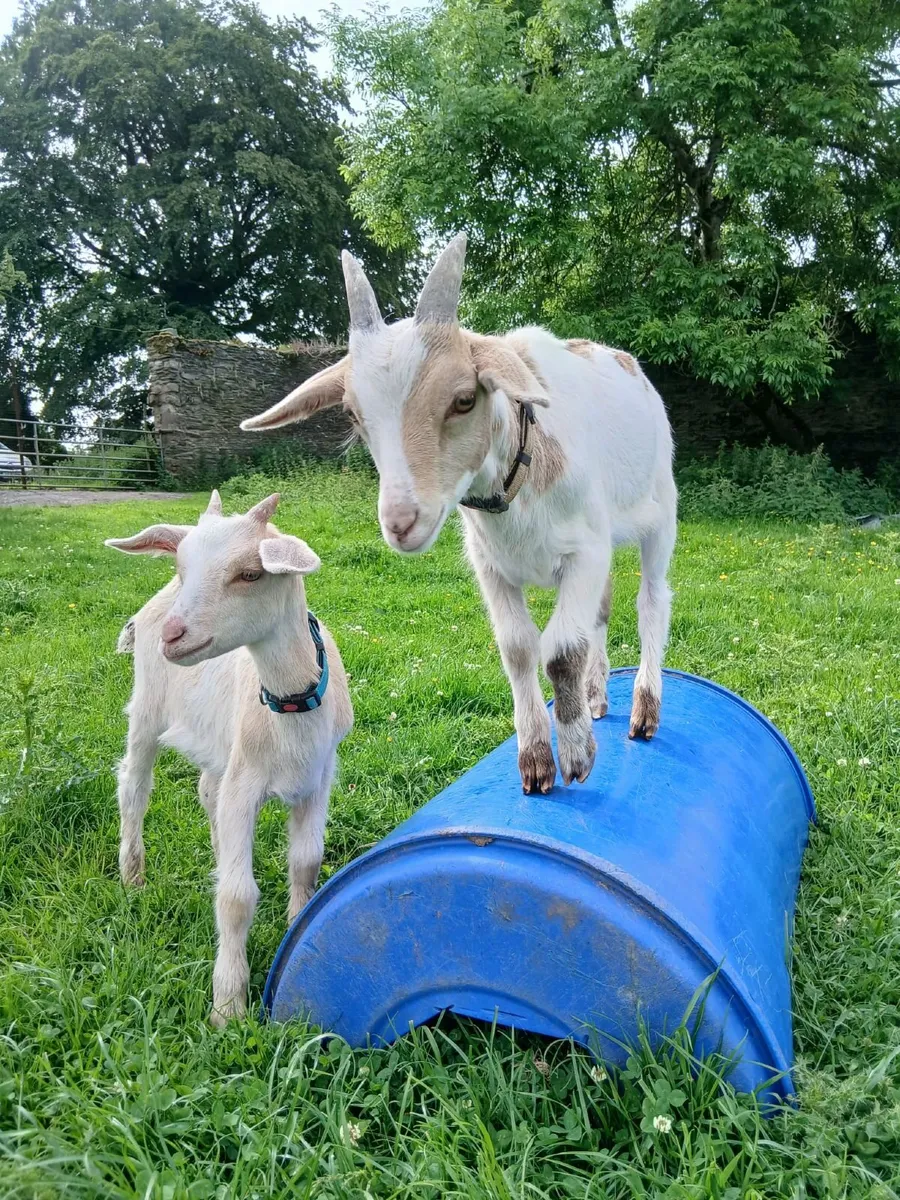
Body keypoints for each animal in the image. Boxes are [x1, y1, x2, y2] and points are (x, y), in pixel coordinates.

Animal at [105, 491, 353, 1024]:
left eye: (251, 573)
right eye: (182, 566)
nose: (174, 635)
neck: (289, 707)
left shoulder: (320, 774)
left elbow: (306, 860)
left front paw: (297, 927)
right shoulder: (246, 783)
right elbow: (238, 897)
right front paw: (228, 1006)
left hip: (218, 745)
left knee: (206, 791)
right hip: (147, 707)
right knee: (134, 786)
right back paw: (133, 876)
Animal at [242, 235, 676, 795]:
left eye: (465, 399)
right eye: (353, 415)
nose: (401, 522)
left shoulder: (586, 550)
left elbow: (560, 649)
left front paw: (577, 755)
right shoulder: (491, 566)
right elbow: (518, 647)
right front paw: (536, 760)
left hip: (661, 512)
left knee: (651, 603)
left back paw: (644, 711)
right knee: (601, 612)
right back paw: (599, 697)